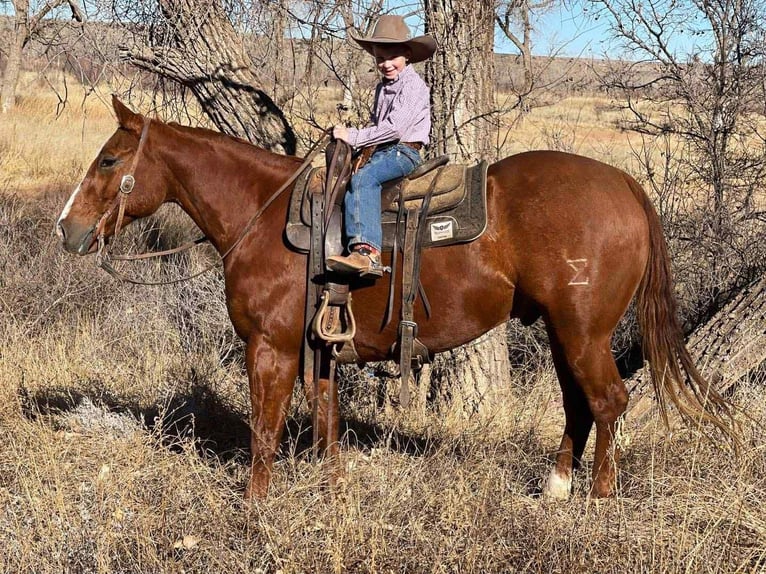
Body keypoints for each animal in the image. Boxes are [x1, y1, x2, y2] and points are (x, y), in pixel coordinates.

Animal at [56, 96, 736, 500]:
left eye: (109, 159)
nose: (67, 229)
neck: (264, 215)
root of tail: (624, 185)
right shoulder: (318, 347)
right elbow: (326, 419)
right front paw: (332, 492)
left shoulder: (270, 347)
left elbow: (264, 428)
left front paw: (254, 506)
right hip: (562, 329)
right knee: (579, 402)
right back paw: (557, 488)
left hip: (583, 329)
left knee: (608, 400)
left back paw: (596, 497)